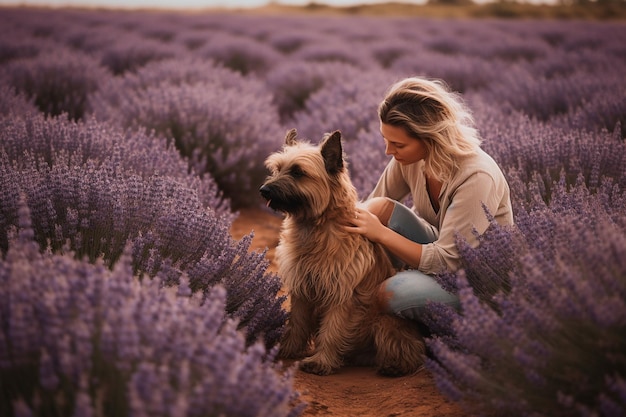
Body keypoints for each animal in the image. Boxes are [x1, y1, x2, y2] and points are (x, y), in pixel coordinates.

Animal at [258, 128, 424, 376]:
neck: (318, 228)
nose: (264, 190)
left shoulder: (342, 293)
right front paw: (286, 349)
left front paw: (320, 361)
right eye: (277, 169)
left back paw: (395, 365)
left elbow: (332, 330)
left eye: (298, 172)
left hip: (384, 323)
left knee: (407, 348)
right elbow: (296, 323)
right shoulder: (301, 288)